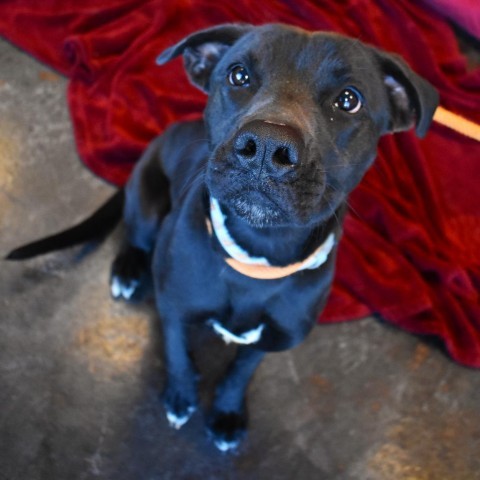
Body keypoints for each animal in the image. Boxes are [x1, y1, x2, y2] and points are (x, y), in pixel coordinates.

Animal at [5, 23, 438, 450]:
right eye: (238, 75)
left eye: (349, 100)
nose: (266, 146)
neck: (256, 256)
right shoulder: (174, 306)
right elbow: (177, 352)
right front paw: (181, 394)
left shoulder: (271, 339)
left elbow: (239, 372)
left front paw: (227, 413)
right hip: (146, 199)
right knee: (137, 237)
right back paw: (129, 270)